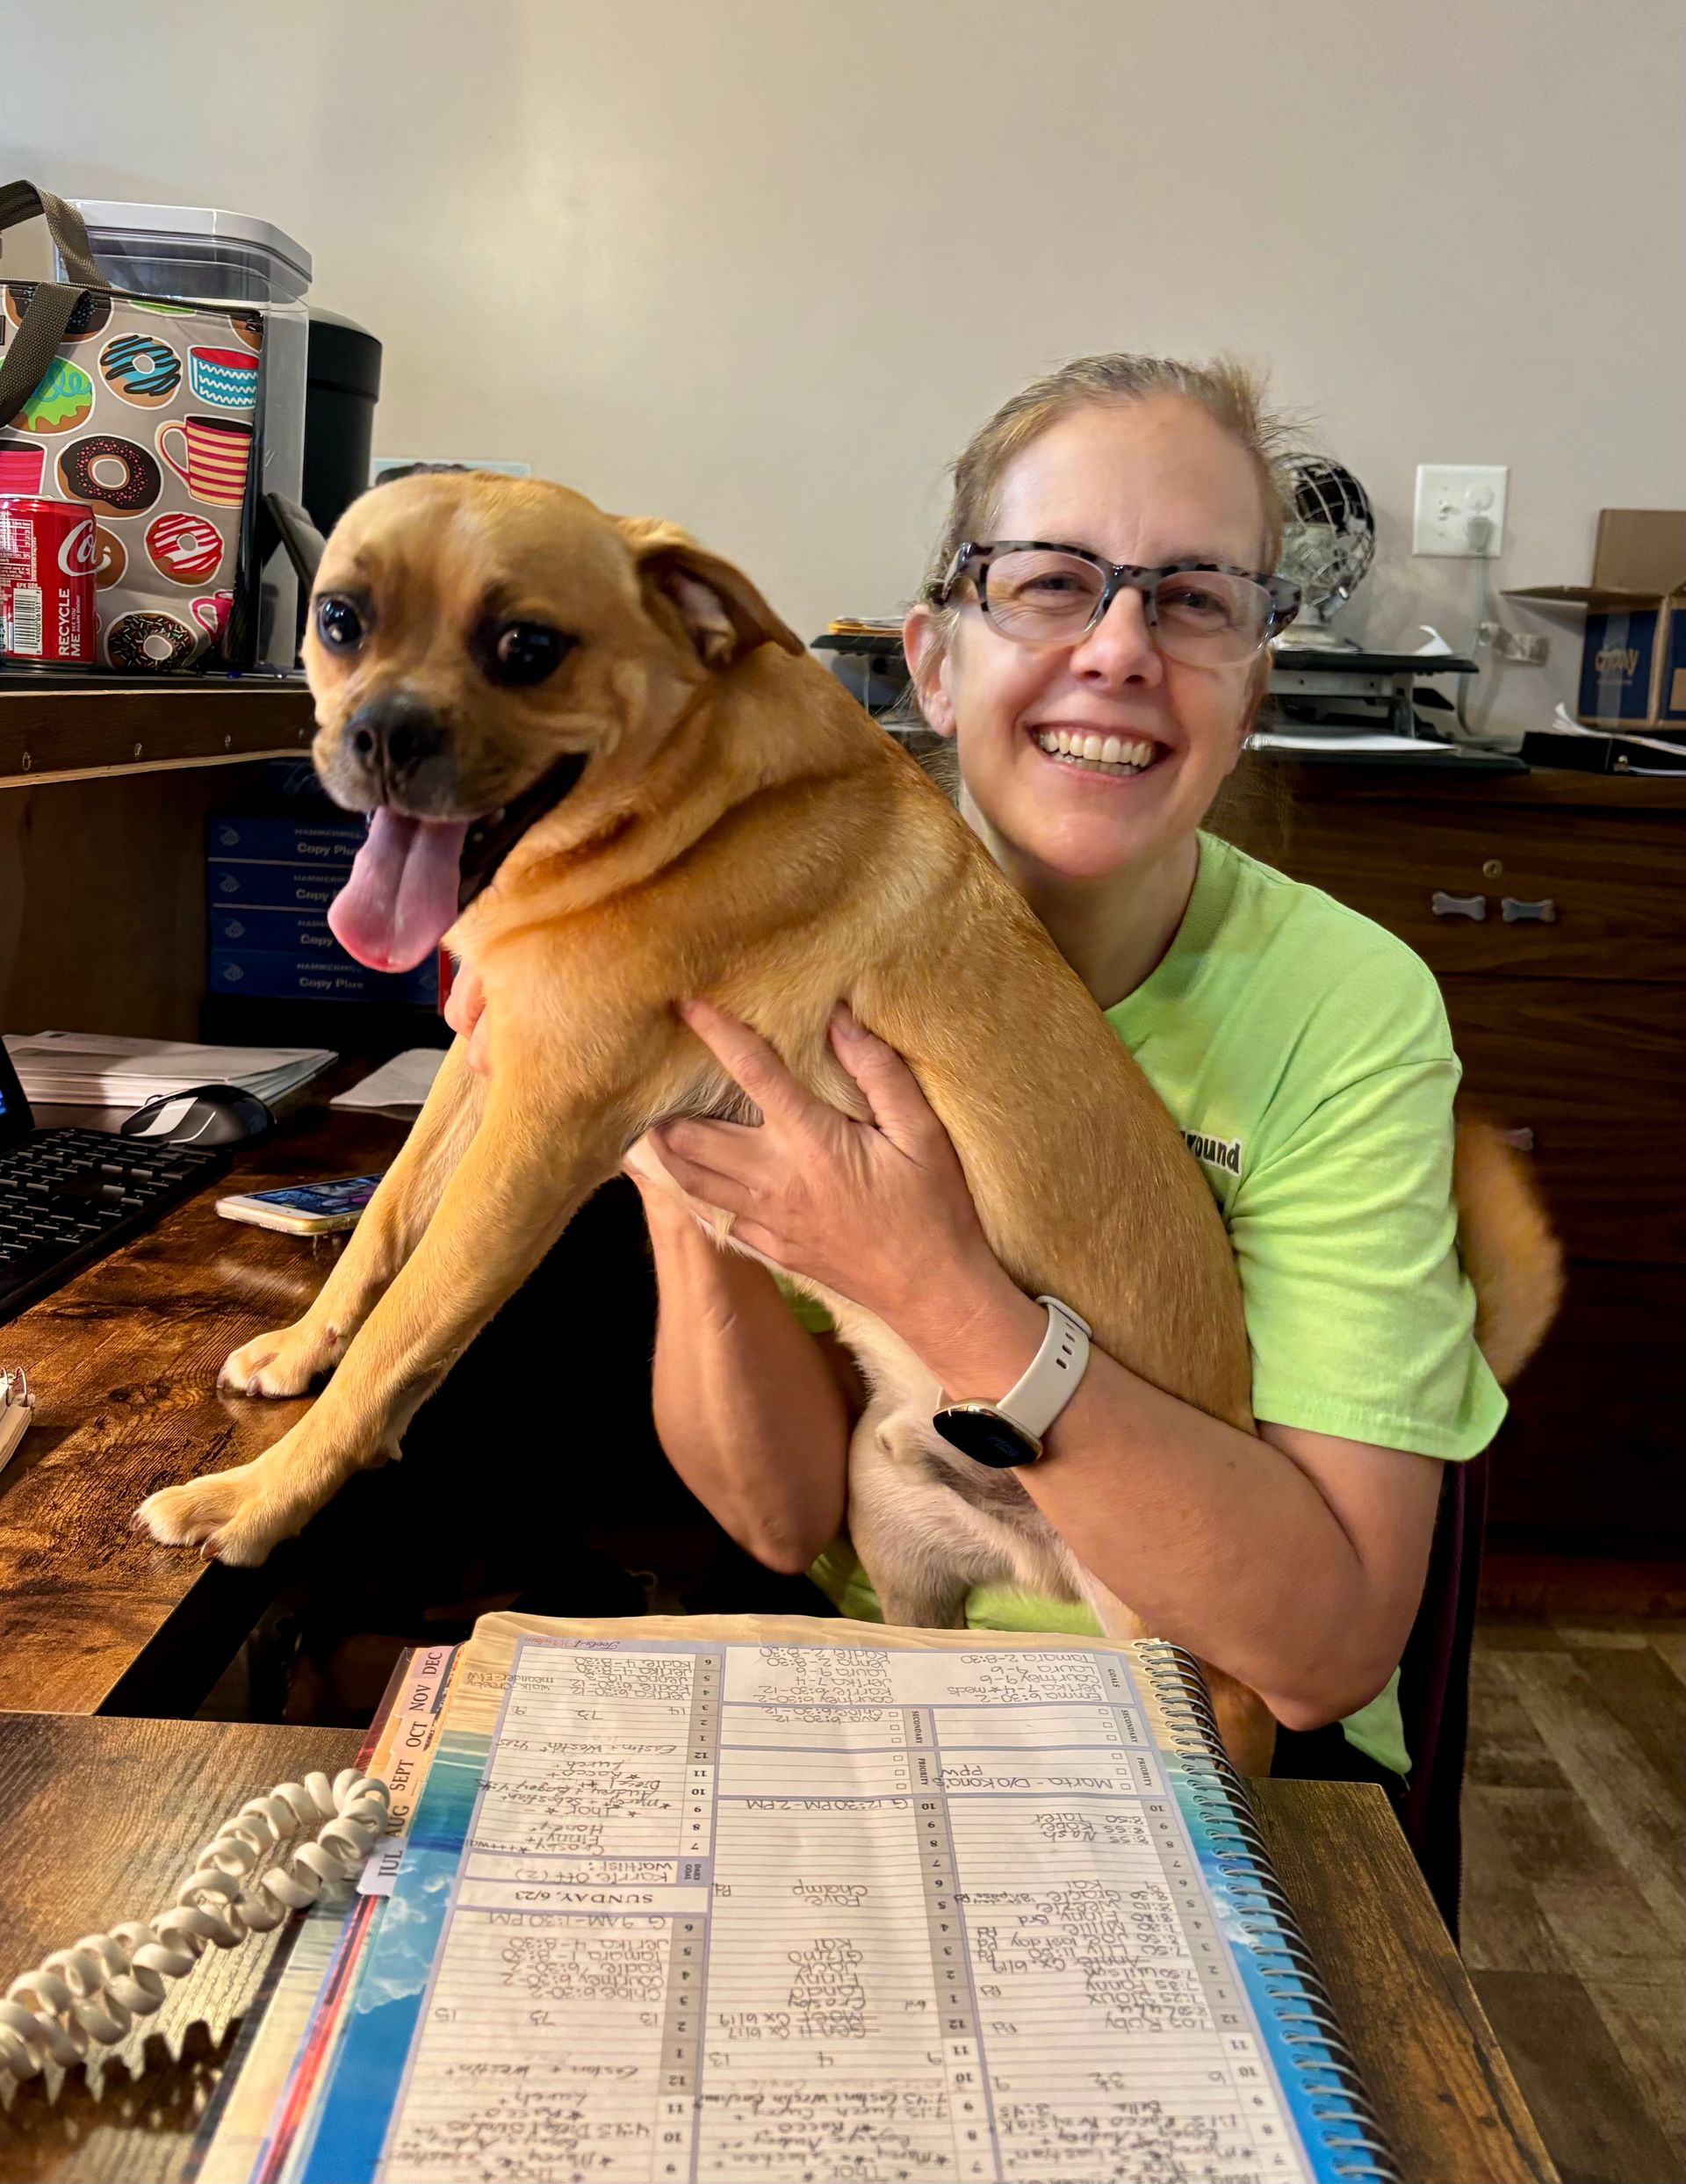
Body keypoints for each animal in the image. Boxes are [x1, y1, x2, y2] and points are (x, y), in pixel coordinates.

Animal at [138, 469, 1563, 1764]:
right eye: (340, 620)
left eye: (526, 647)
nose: (377, 736)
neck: (678, 793)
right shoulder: (484, 1063)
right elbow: (381, 1226)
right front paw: (296, 1351)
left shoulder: (540, 1128)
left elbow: (408, 1334)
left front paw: (252, 1499)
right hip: (897, 1521)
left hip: (1197, 1665)